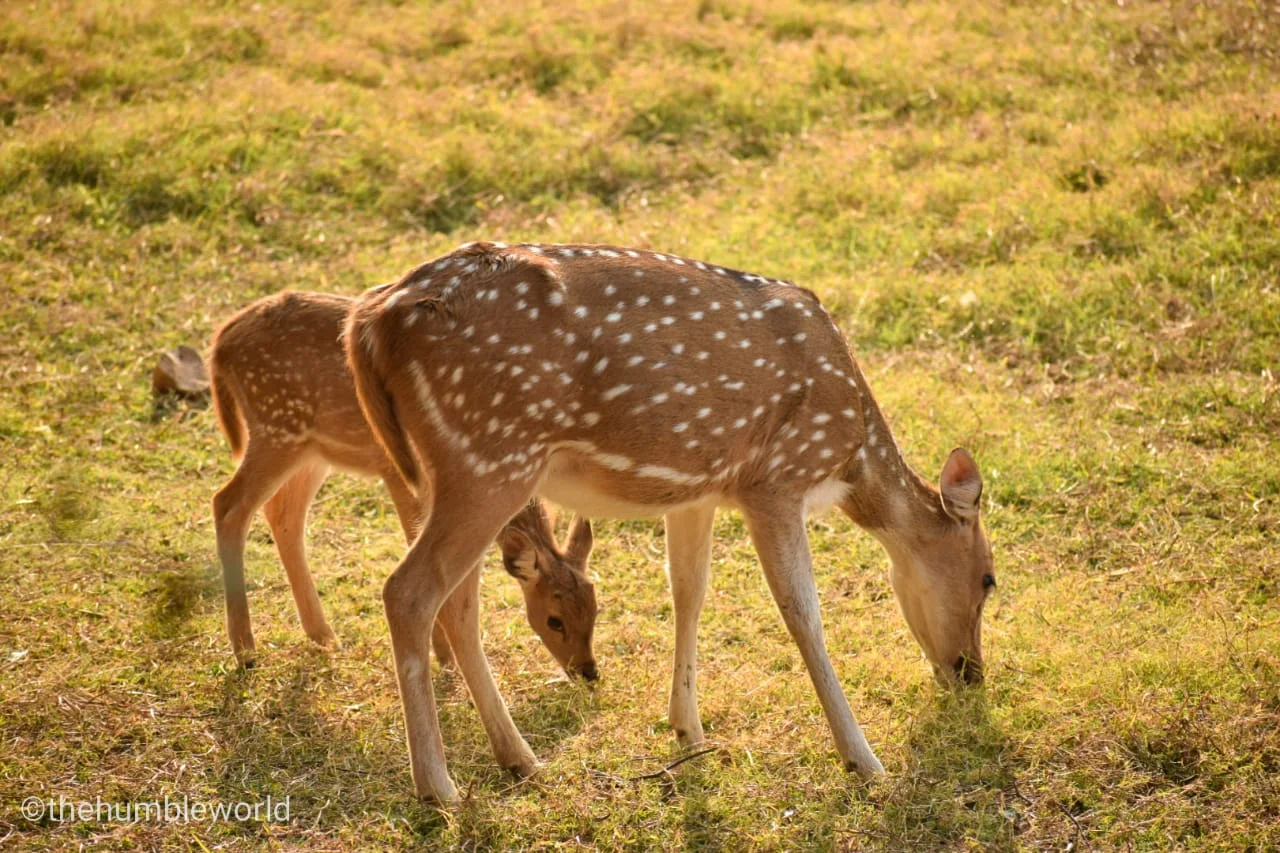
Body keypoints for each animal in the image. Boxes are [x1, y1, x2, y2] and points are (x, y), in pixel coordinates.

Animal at [207, 292, 596, 676]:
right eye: (554, 619)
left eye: (594, 609)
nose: (588, 671)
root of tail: (220, 342)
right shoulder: (400, 474)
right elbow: (414, 549)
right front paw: (443, 655)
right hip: (277, 428)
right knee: (228, 503)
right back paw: (245, 650)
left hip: (311, 450)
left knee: (283, 514)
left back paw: (323, 635)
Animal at [350, 240, 998, 804]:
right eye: (990, 580)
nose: (971, 673)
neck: (849, 457)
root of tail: (369, 322)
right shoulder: (774, 481)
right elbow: (803, 613)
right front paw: (863, 760)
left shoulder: (697, 493)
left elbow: (688, 590)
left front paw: (688, 728)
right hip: (489, 455)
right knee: (409, 591)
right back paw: (438, 788)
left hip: (455, 472)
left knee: (458, 604)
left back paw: (520, 759)